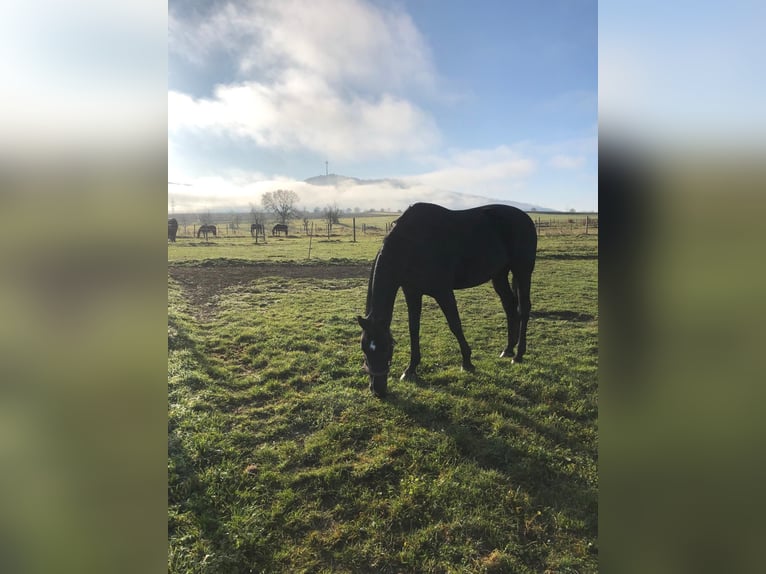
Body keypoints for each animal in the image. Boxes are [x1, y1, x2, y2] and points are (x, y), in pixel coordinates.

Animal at [360, 205, 540, 398]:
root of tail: (525, 218)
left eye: (387, 348)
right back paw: (508, 349)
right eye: (364, 349)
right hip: (499, 275)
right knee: (510, 306)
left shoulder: (443, 292)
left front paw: (467, 362)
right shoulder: (412, 292)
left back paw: (518, 355)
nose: (378, 390)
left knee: (523, 308)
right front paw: (410, 369)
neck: (412, 244)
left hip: (522, 271)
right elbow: (413, 328)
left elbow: (455, 324)